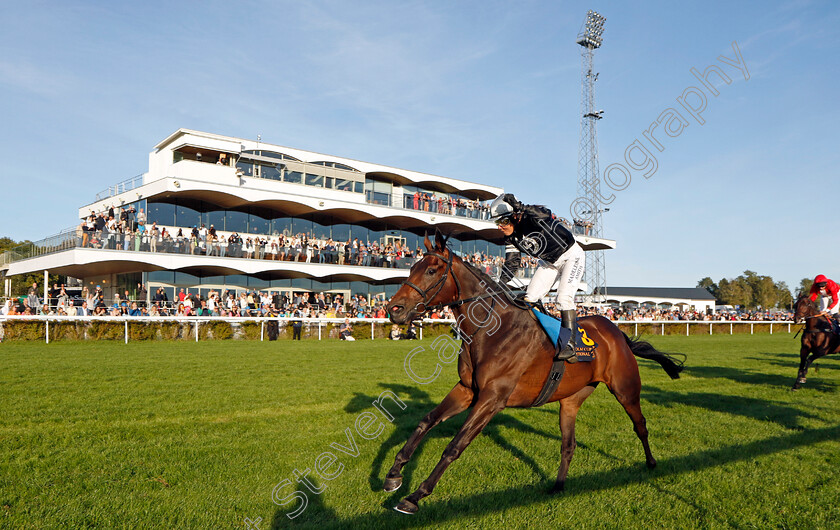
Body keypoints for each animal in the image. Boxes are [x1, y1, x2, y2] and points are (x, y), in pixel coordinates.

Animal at [386, 231, 684, 512]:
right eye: (412, 268)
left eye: (431, 271)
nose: (393, 309)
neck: (491, 330)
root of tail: (617, 331)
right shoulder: (467, 390)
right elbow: (426, 421)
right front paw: (394, 474)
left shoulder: (492, 399)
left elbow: (454, 446)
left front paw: (415, 496)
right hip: (571, 399)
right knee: (568, 444)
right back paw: (558, 485)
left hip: (625, 389)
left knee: (640, 425)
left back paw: (651, 463)